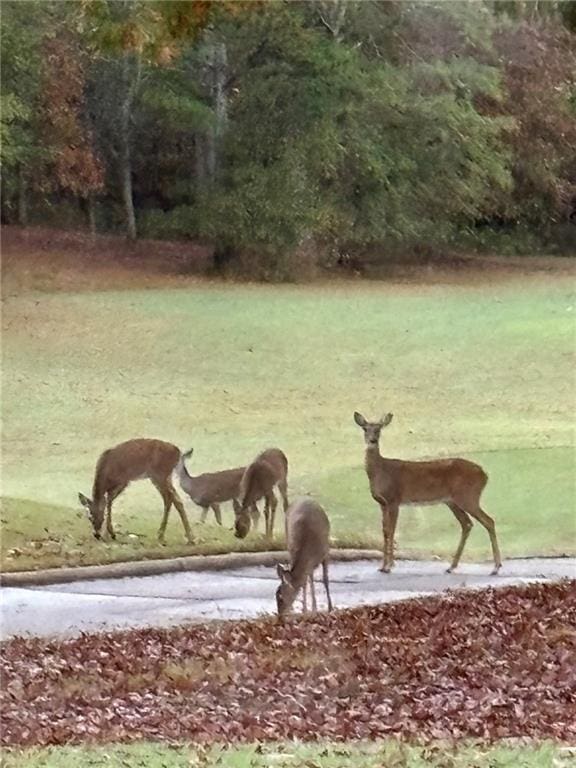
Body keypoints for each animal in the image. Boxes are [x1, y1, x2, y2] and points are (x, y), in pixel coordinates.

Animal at [354, 414, 502, 576]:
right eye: (365, 429)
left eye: (379, 429)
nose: (372, 441)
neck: (380, 471)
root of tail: (485, 475)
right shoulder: (382, 503)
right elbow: (385, 531)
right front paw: (382, 566)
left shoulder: (394, 499)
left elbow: (392, 531)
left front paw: (389, 566)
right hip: (452, 501)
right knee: (467, 524)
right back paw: (451, 566)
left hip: (468, 497)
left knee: (488, 521)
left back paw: (496, 567)